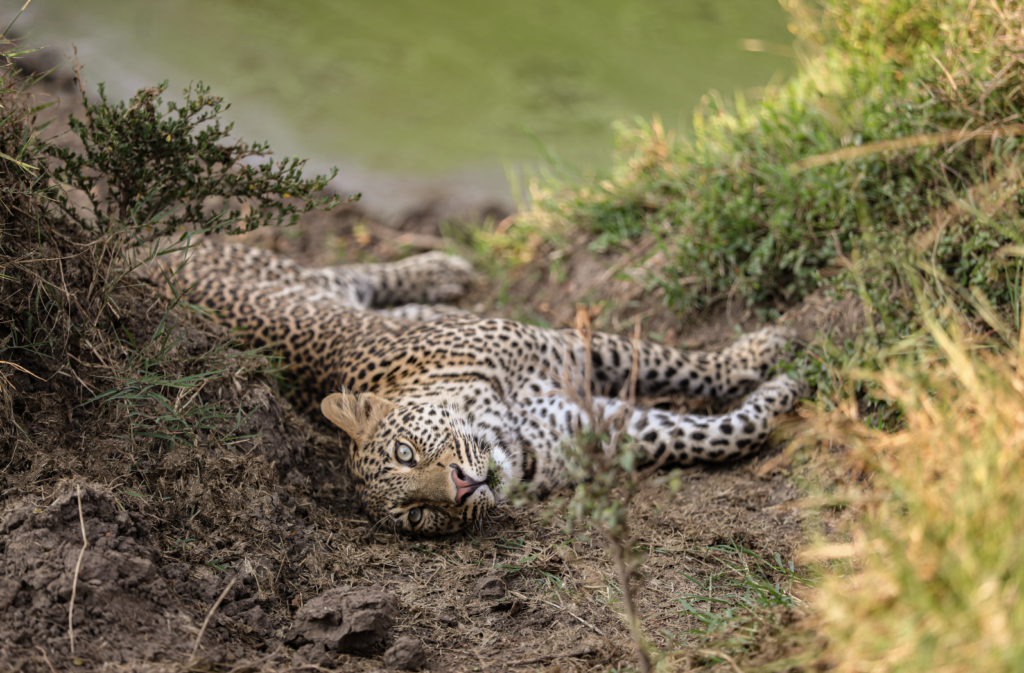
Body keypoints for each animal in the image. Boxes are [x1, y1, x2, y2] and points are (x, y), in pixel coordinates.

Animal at [145, 241, 808, 536]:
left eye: (405, 451)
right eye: (417, 516)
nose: (463, 489)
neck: (506, 428)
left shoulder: (573, 349)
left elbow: (681, 365)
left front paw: (769, 350)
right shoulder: (608, 427)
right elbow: (720, 433)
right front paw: (782, 391)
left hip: (298, 276)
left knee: (359, 274)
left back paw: (443, 267)